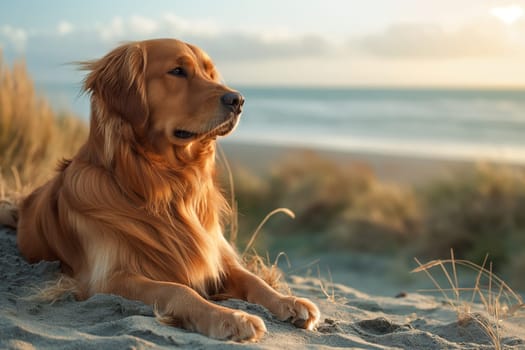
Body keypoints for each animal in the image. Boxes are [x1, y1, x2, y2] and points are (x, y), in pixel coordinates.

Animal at [9, 39, 320, 342]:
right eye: (178, 71)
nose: (238, 100)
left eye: (210, 73)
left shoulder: (215, 255)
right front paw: (230, 318)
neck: (166, 185)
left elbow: (252, 279)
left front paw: (289, 302)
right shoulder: (107, 280)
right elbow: (179, 290)